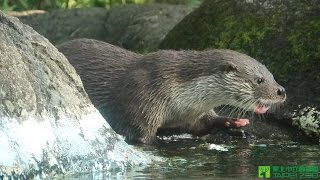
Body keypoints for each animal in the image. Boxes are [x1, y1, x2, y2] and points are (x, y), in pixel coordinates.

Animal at [58, 38, 288, 144]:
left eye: (271, 74)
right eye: (258, 80)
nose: (281, 91)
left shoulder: (190, 115)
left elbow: (203, 124)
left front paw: (232, 124)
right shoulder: (140, 98)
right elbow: (141, 137)